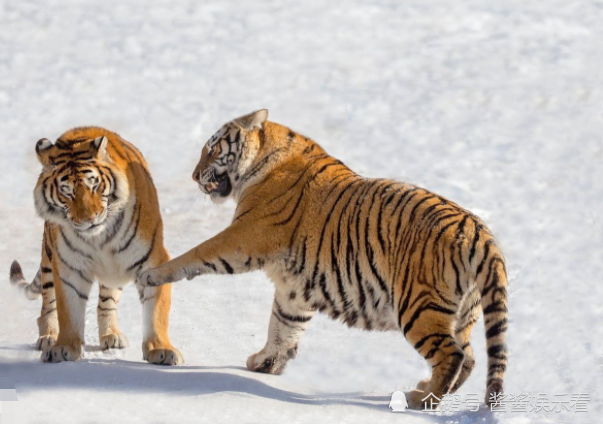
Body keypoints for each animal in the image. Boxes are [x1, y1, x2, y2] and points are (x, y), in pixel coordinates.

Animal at [8, 127, 183, 366]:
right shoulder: (68, 267)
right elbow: (68, 310)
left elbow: (156, 311)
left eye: (95, 185)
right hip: (49, 260)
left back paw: (112, 335)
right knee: (47, 305)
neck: (99, 238)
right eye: (66, 191)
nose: (88, 220)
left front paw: (160, 349)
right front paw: (64, 347)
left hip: (115, 270)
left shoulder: (153, 262)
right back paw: (48, 336)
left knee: (106, 302)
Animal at [138, 111, 510, 410]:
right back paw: (426, 390)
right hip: (462, 313)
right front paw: (265, 363)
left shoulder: (243, 236)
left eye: (212, 149)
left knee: (452, 355)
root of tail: (480, 232)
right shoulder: (293, 287)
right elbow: (282, 325)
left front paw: (152, 274)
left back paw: (419, 400)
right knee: (470, 357)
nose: (194, 175)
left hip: (418, 307)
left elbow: (197, 252)